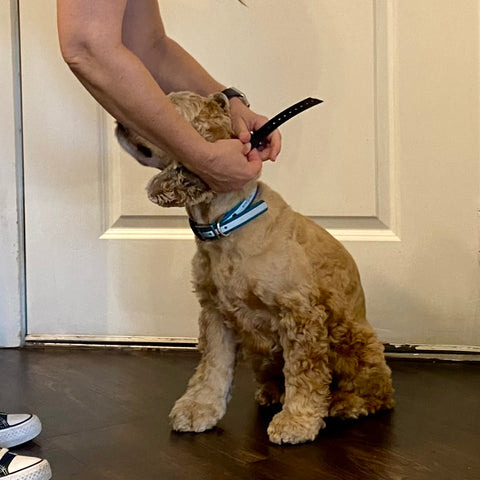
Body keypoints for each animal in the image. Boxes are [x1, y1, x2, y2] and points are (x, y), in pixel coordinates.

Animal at [116, 92, 394, 444]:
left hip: (353, 337)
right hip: (262, 354)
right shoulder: (215, 312)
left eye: (170, 107)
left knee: (379, 389)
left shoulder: (300, 313)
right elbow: (213, 367)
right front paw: (198, 409)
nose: (119, 118)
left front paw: (297, 421)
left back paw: (345, 403)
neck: (226, 223)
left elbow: (305, 373)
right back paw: (273, 393)